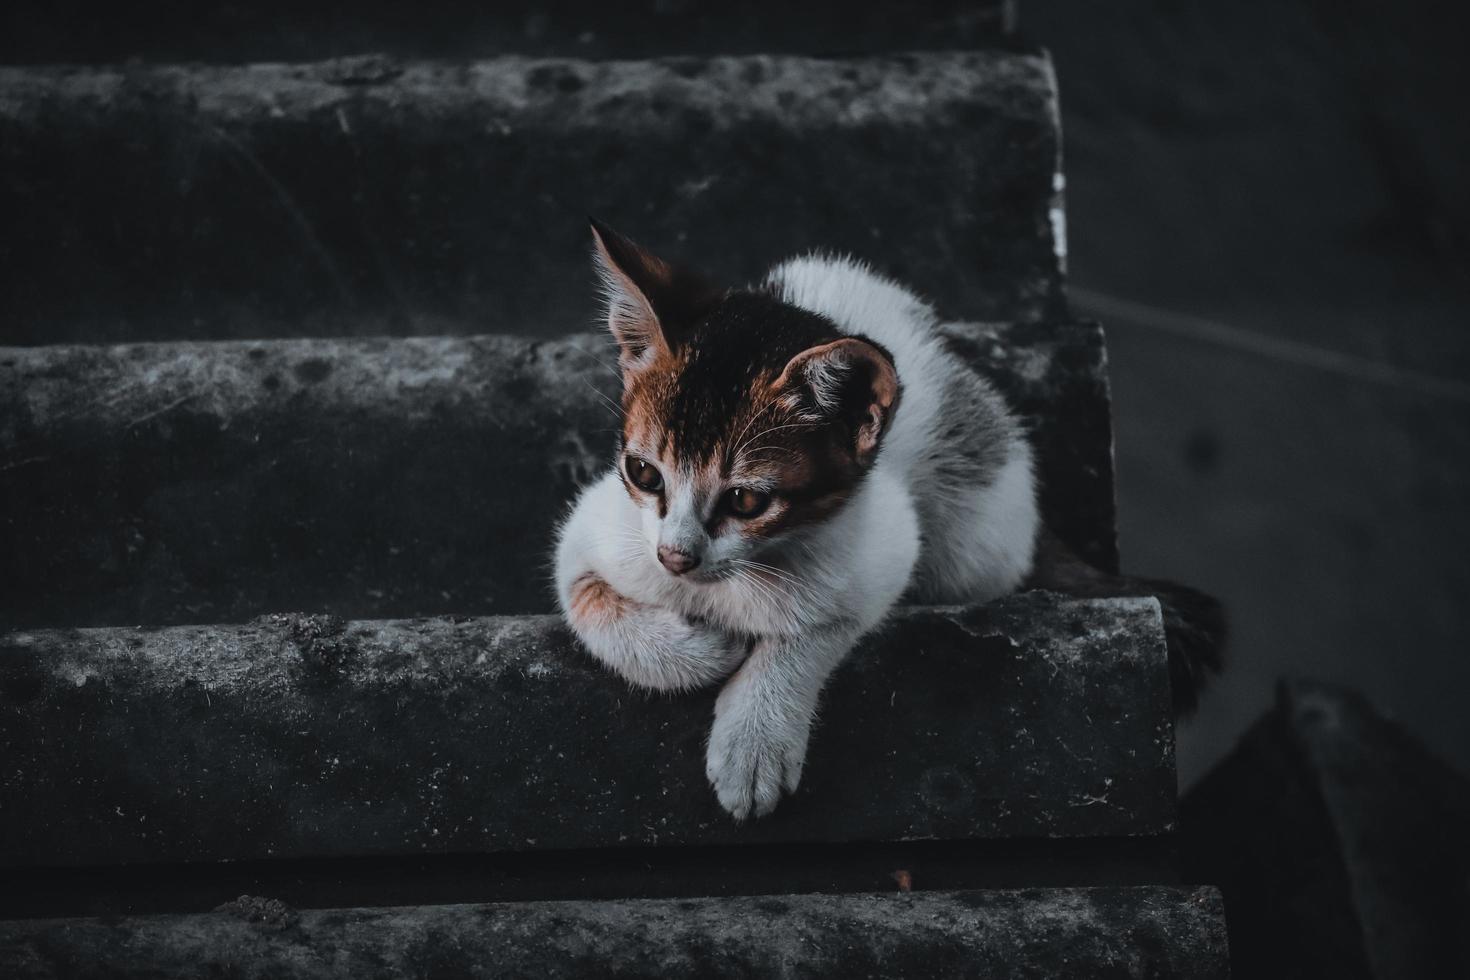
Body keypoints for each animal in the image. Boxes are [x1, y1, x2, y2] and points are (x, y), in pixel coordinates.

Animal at [555, 220, 1223, 822]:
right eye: (644, 473)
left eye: (745, 501)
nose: (676, 558)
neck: (727, 580)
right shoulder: (600, 529)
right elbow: (584, 599)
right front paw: (702, 654)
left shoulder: (883, 548)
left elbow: (821, 625)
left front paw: (755, 738)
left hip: (973, 541)